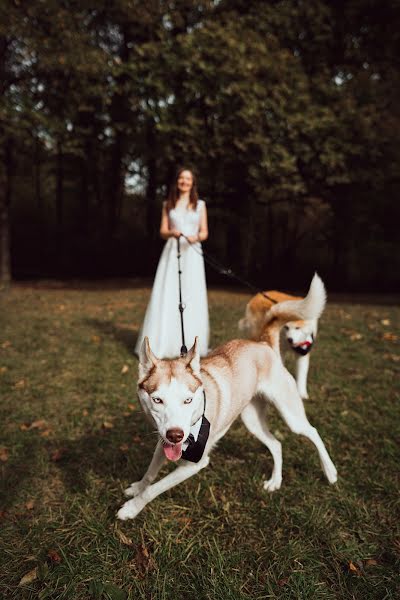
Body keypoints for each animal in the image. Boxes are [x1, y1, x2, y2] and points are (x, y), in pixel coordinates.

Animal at [117, 276, 336, 520]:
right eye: (157, 400)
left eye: (187, 400)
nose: (176, 435)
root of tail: (262, 343)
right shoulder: (163, 442)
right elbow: (150, 473)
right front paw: (137, 487)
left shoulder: (195, 464)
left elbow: (154, 489)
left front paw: (131, 508)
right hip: (252, 421)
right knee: (277, 445)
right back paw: (275, 481)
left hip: (290, 415)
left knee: (312, 432)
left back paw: (330, 472)